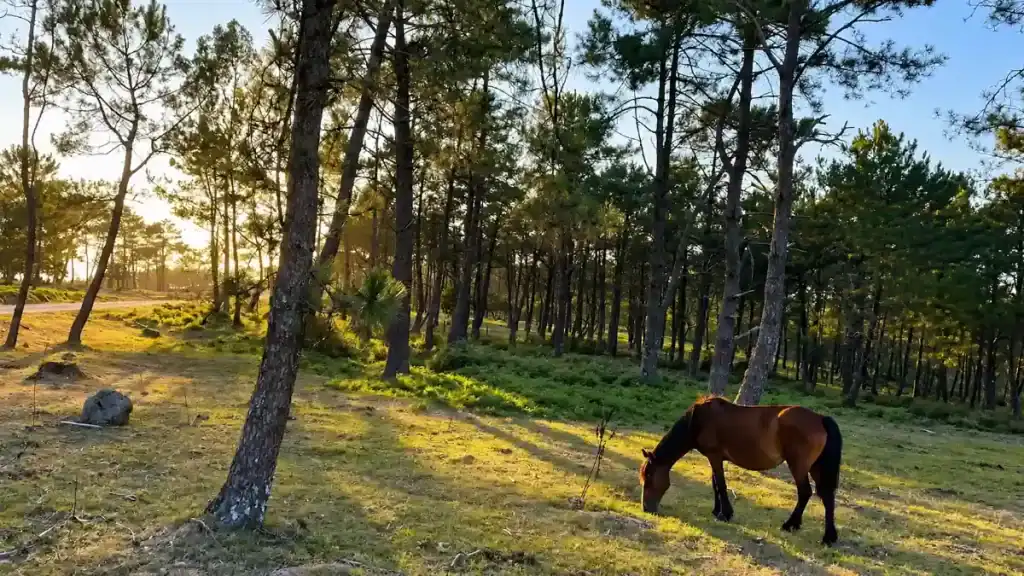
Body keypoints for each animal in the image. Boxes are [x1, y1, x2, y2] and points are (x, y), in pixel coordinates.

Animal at [638, 395, 843, 545]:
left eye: (649, 476)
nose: (646, 508)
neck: (698, 419)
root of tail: (820, 419)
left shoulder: (714, 456)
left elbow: (720, 484)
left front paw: (725, 514)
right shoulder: (714, 458)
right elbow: (715, 483)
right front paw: (717, 511)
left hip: (799, 466)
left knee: (805, 492)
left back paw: (790, 525)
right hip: (816, 467)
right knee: (827, 496)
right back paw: (828, 537)